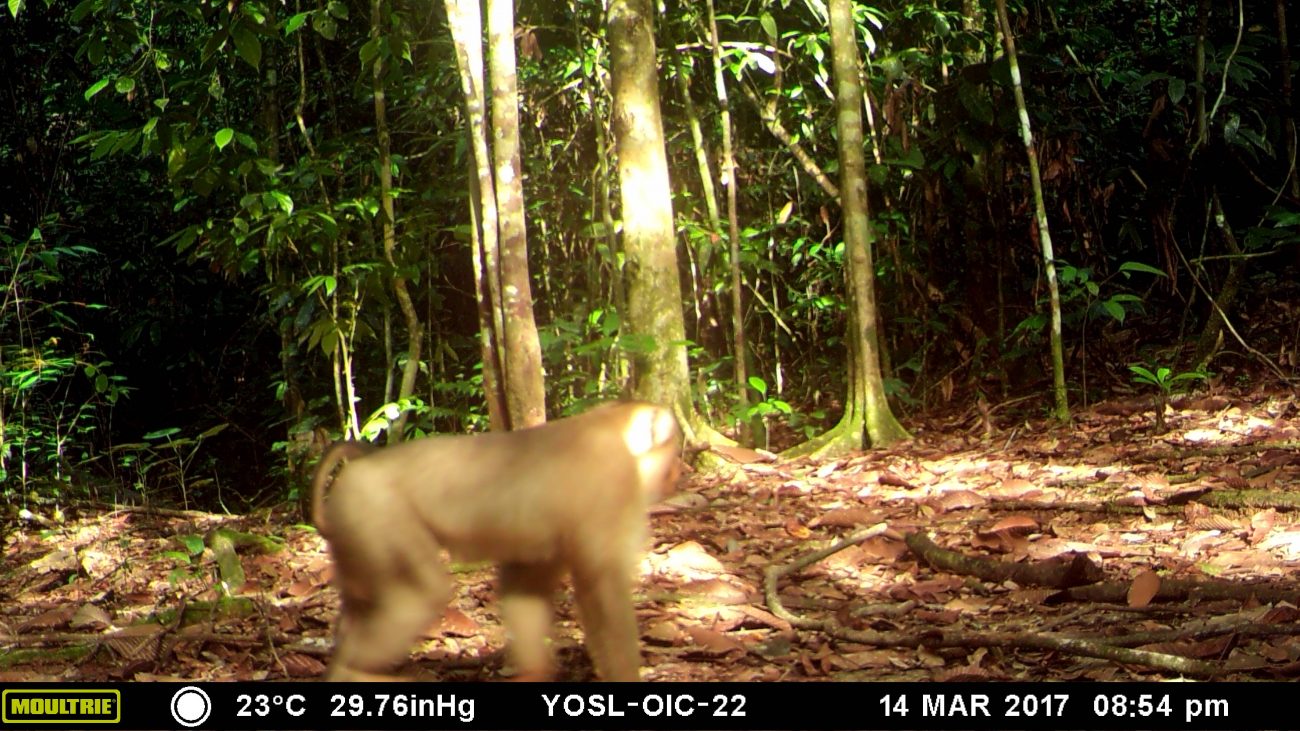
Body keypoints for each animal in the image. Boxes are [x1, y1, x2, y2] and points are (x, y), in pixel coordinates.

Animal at [309, 401, 681, 682]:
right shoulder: (611, 485)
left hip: (355, 531)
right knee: (418, 595)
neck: (612, 428)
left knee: (362, 600)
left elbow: (524, 589)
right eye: (672, 451)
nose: (676, 473)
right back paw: (354, 671)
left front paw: (535, 672)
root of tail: (363, 465)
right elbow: (603, 587)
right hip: (376, 514)